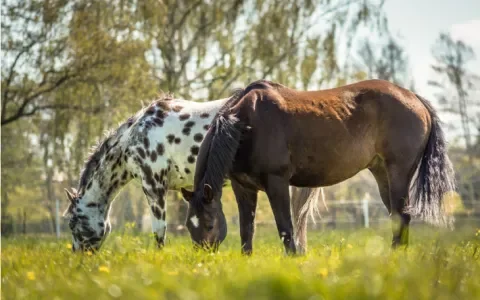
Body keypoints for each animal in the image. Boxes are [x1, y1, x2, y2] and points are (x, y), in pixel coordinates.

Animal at [180, 79, 454, 253]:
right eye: (189, 226)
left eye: (209, 224)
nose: (204, 258)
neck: (246, 125)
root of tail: (415, 98)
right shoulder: (243, 188)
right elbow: (247, 230)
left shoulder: (277, 182)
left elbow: (286, 228)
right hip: (381, 173)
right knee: (397, 216)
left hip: (399, 172)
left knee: (402, 214)